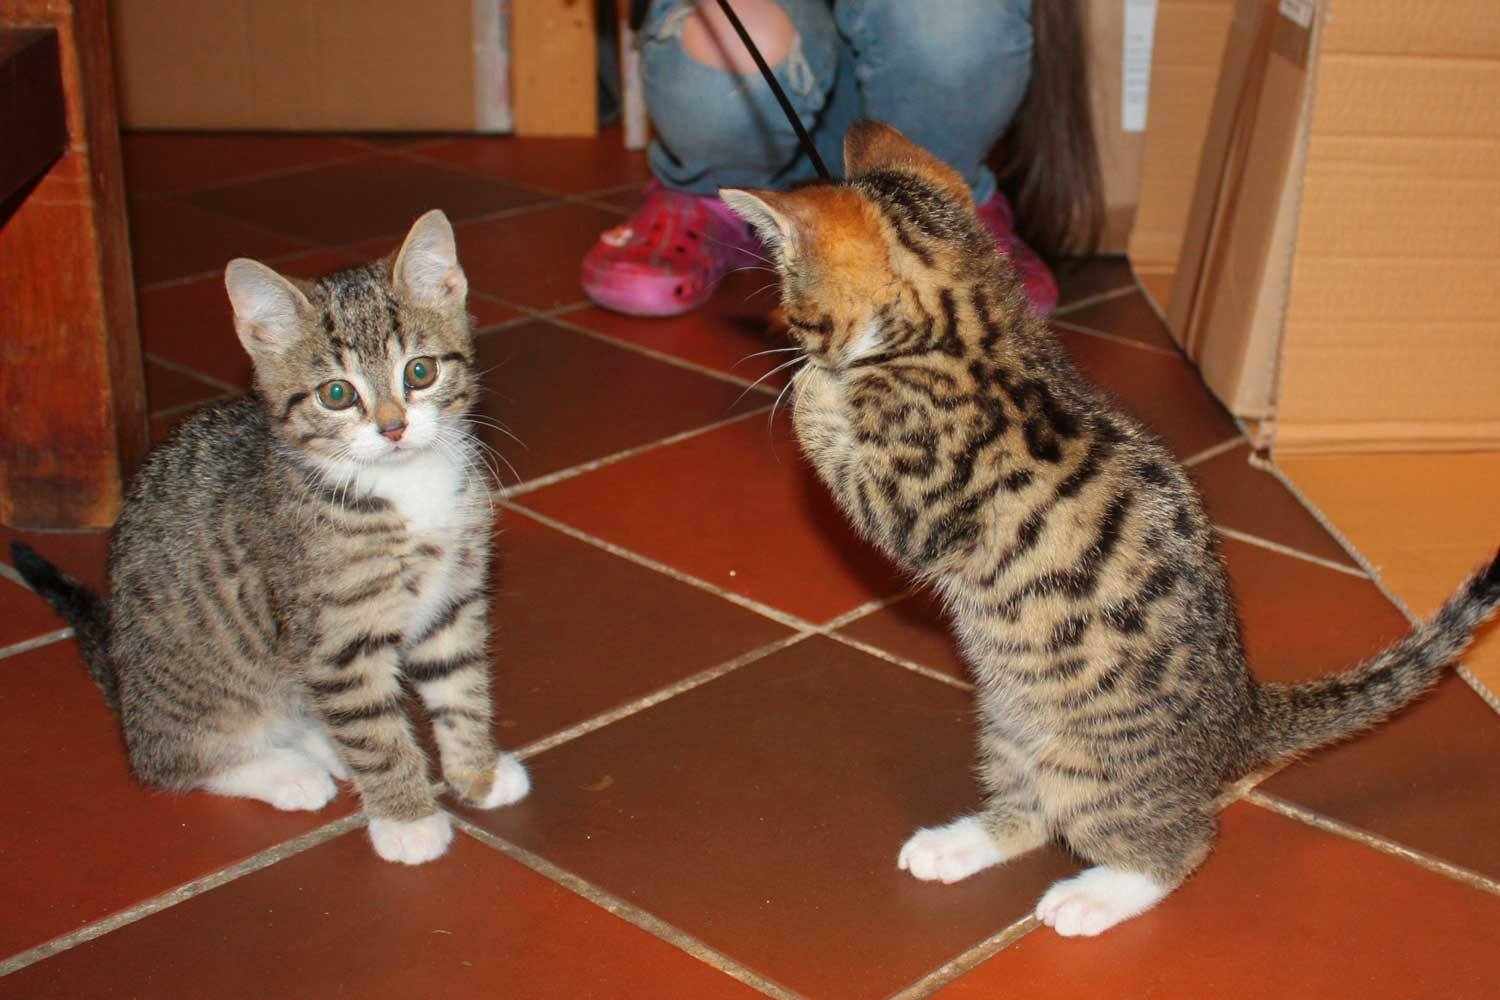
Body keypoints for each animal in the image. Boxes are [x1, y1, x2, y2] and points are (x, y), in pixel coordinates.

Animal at [12, 210, 528, 866]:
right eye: (337, 394)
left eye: (420, 371)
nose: (393, 428)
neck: (402, 485)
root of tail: (125, 686)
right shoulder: (336, 638)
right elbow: (373, 729)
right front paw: (407, 820)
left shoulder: (451, 600)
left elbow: (459, 686)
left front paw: (477, 773)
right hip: (200, 694)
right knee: (171, 761)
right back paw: (287, 774)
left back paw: (321, 749)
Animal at [721, 121, 1500, 936]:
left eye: (795, 309)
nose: (792, 338)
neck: (974, 328)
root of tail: (1239, 718)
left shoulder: (914, 498)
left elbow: (860, 480)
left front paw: (809, 389)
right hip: (1011, 726)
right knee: (1029, 808)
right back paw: (956, 846)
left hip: (1091, 766)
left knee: (1180, 841)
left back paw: (1093, 896)